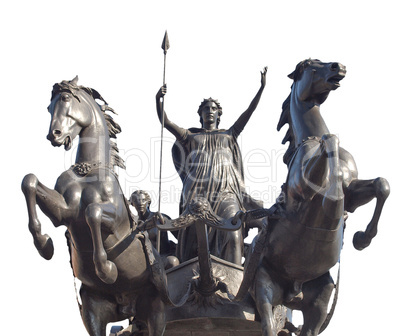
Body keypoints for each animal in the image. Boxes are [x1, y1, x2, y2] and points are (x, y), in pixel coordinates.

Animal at [21, 77, 178, 336]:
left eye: (66, 98)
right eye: (48, 107)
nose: (54, 135)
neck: (88, 171)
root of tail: (128, 308)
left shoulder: (116, 221)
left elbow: (91, 212)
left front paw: (106, 269)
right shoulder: (63, 213)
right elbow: (30, 181)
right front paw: (44, 244)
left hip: (156, 310)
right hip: (93, 311)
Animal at [236, 59, 390, 336]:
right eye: (310, 65)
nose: (338, 66)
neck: (313, 138)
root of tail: (292, 292)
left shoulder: (352, 192)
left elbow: (381, 185)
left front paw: (361, 238)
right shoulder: (306, 187)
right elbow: (331, 145)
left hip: (318, 300)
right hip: (263, 288)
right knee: (268, 325)